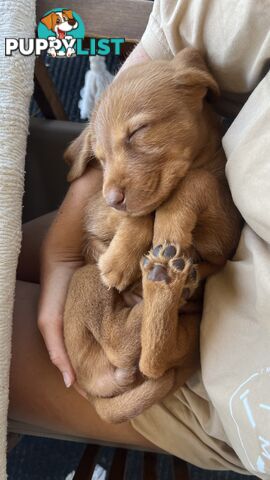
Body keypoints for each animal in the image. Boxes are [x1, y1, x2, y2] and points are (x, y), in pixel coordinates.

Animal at [63, 47, 243, 424]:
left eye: (138, 131)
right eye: (99, 159)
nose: (113, 197)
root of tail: (93, 393)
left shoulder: (224, 239)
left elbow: (193, 183)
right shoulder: (99, 211)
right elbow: (144, 210)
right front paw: (120, 260)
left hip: (188, 339)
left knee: (152, 360)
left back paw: (172, 282)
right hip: (86, 276)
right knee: (133, 351)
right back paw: (163, 281)